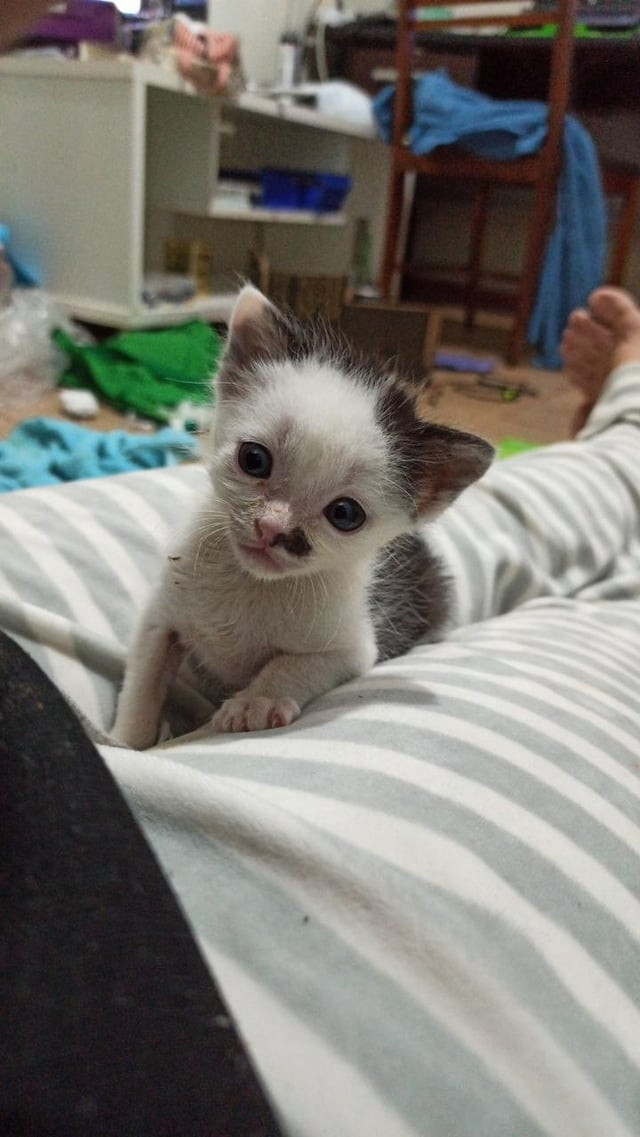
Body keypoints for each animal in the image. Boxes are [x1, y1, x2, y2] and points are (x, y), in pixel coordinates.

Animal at [112, 283, 493, 745]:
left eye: (344, 514)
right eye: (254, 459)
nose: (272, 527)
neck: (253, 583)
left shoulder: (352, 650)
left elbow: (296, 665)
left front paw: (257, 701)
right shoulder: (160, 617)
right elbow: (143, 678)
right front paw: (127, 738)